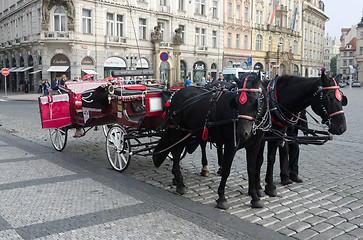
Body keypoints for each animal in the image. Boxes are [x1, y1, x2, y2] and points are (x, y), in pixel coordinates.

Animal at [152, 72, 268, 208]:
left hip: (188, 132)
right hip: (177, 130)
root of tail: (175, 94)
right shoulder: (231, 145)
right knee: (176, 154)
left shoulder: (255, 145)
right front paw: (222, 197)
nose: (242, 132)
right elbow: (226, 170)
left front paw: (254, 197)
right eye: (237, 102)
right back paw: (180, 183)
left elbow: (251, 169)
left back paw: (176, 177)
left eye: (256, 101)